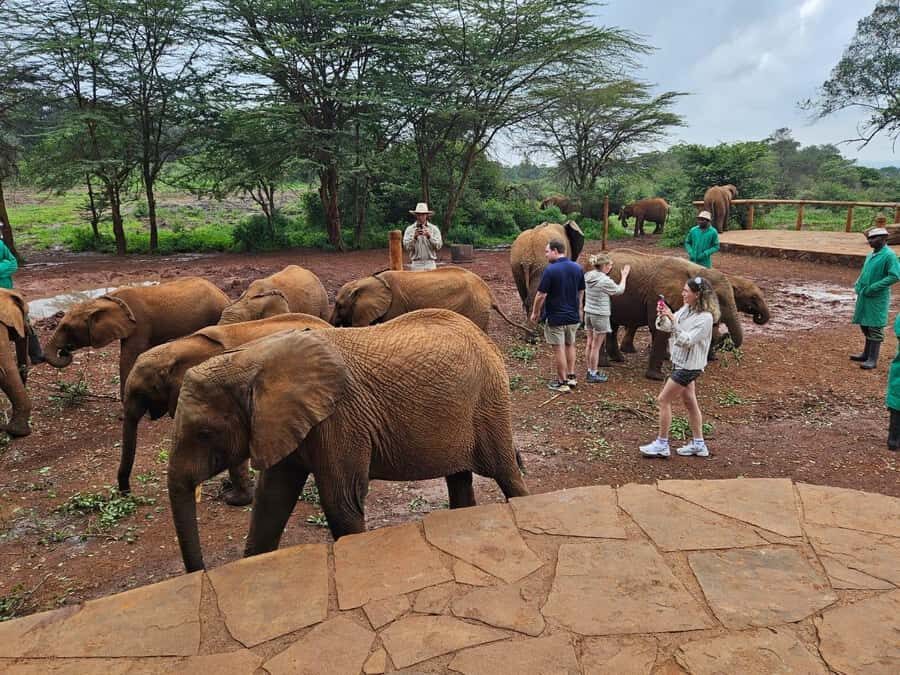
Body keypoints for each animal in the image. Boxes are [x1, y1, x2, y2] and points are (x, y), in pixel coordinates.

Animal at [42, 277, 229, 399]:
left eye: (67, 328)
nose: (65, 351)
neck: (104, 301)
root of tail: (223, 293)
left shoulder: (139, 323)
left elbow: (128, 358)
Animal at [167, 309, 530, 572]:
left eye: (204, 434)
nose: (200, 572)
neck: (252, 361)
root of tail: (486, 338)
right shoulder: (284, 424)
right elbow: (271, 499)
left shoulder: (340, 419)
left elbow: (341, 502)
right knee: (459, 476)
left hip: (489, 401)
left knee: (505, 472)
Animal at [599, 249, 752, 380]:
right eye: (718, 298)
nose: (725, 335)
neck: (694, 270)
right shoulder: (657, 294)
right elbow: (658, 328)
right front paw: (657, 377)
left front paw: (666, 359)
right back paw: (605, 364)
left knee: (612, 326)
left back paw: (619, 359)